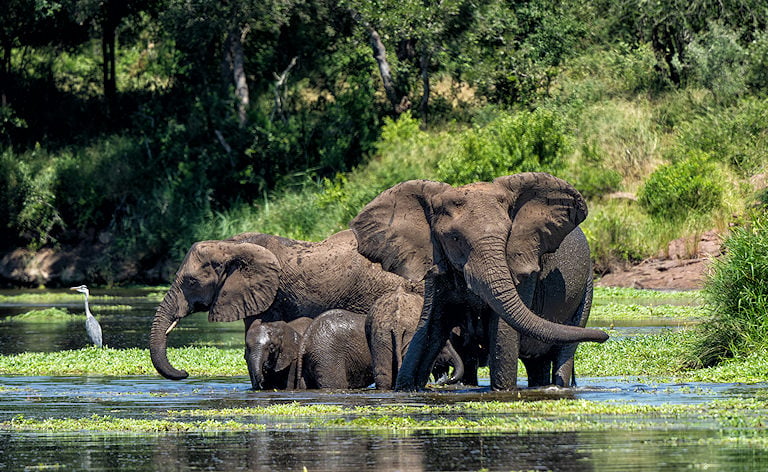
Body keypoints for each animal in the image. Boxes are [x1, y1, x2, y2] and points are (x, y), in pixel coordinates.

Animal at [349, 172, 608, 391]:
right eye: (454, 238)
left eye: (507, 235)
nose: (604, 335)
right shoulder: (436, 264)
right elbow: (430, 327)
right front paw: (407, 388)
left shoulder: (523, 265)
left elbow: (503, 332)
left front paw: (503, 390)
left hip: (587, 288)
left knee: (564, 352)